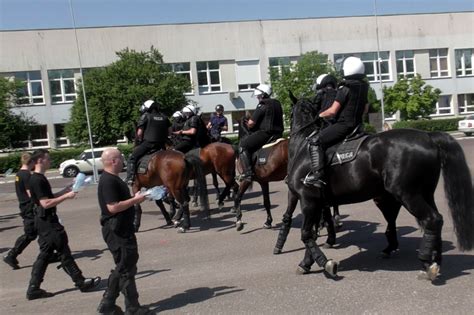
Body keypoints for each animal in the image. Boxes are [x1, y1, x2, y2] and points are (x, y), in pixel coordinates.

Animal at [286, 96, 474, 282]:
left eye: (289, 112)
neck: (304, 146)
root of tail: (429, 137)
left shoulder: (308, 201)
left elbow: (306, 234)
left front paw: (326, 264)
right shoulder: (317, 203)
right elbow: (311, 234)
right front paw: (307, 263)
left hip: (408, 195)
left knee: (432, 219)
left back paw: (427, 264)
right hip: (425, 193)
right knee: (435, 220)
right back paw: (435, 260)